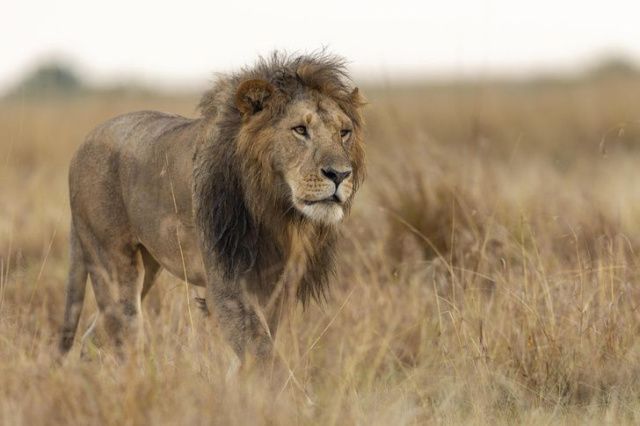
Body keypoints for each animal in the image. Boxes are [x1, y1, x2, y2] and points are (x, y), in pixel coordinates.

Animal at [58, 52, 366, 361]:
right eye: (300, 130)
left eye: (344, 132)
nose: (339, 174)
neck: (275, 211)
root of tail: (81, 146)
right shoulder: (226, 285)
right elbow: (263, 355)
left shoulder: (275, 288)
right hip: (113, 261)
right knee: (123, 331)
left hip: (147, 265)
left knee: (94, 335)